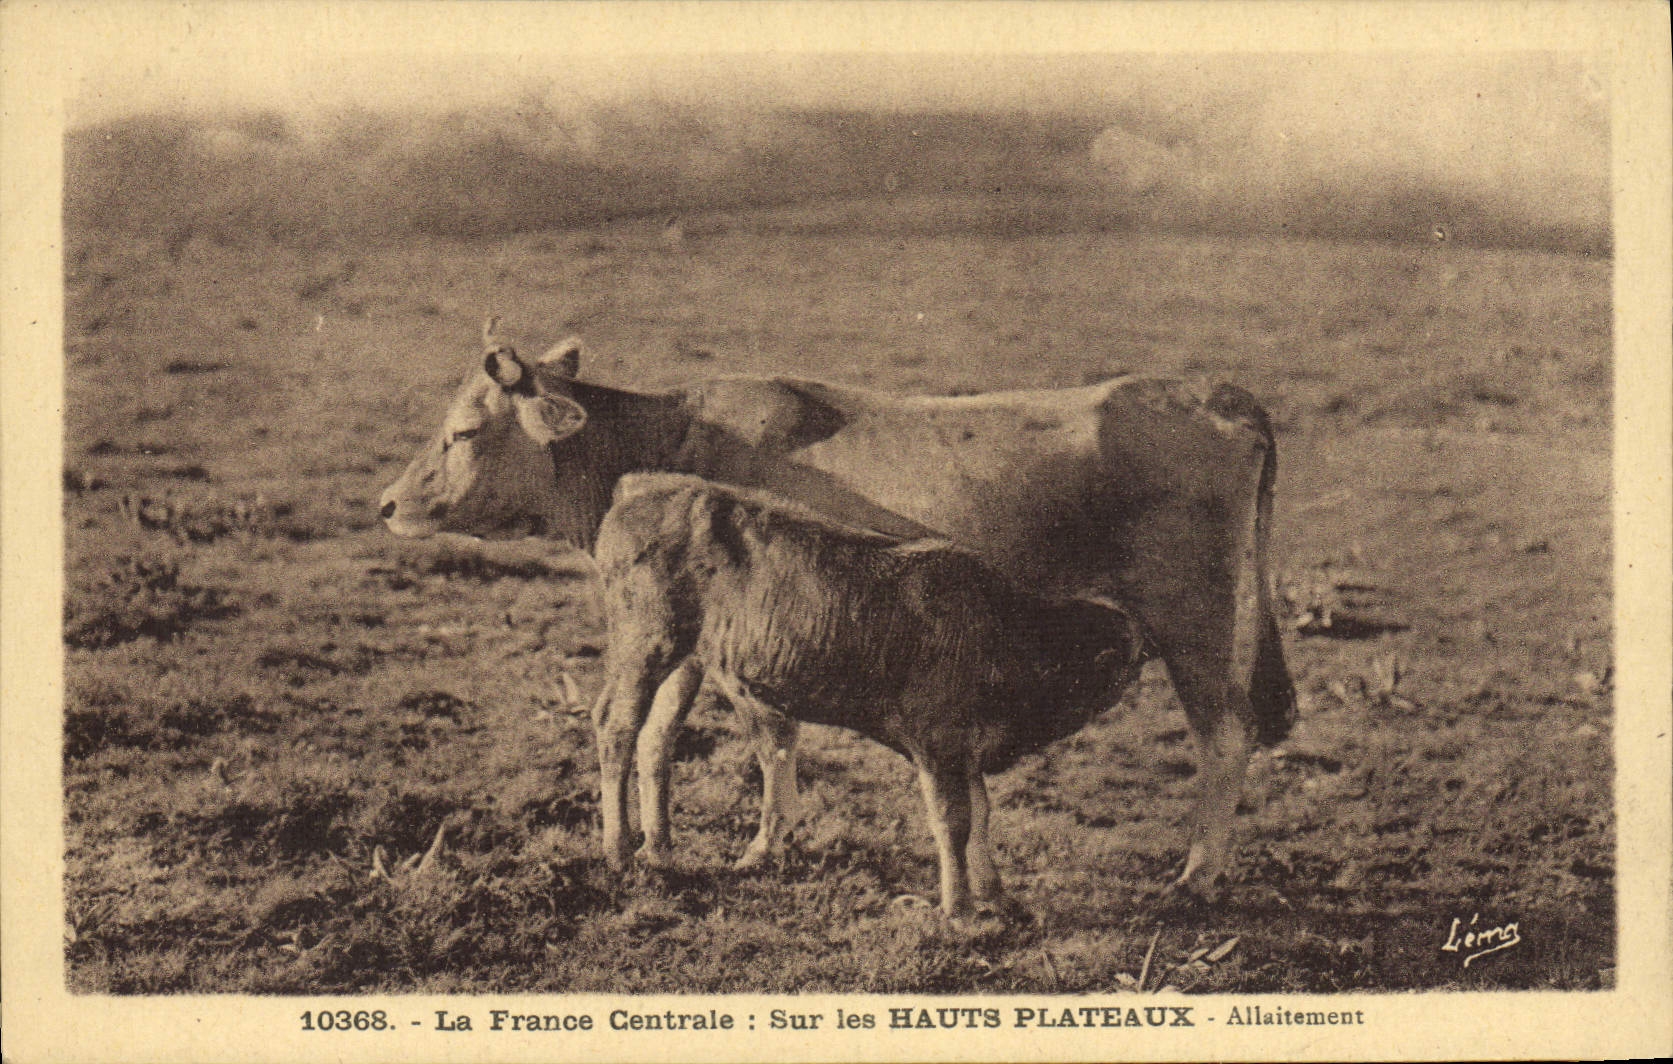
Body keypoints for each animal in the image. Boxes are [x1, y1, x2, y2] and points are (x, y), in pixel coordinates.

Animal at [592, 472, 1149, 919]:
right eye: (1115, 656)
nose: (1143, 653)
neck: (1007, 630)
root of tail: (640, 492)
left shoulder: (964, 753)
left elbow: (982, 814)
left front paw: (996, 896)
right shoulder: (938, 747)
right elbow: (954, 821)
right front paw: (957, 911)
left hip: (684, 660)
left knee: (657, 738)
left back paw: (659, 849)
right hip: (645, 646)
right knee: (616, 726)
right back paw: (619, 852)